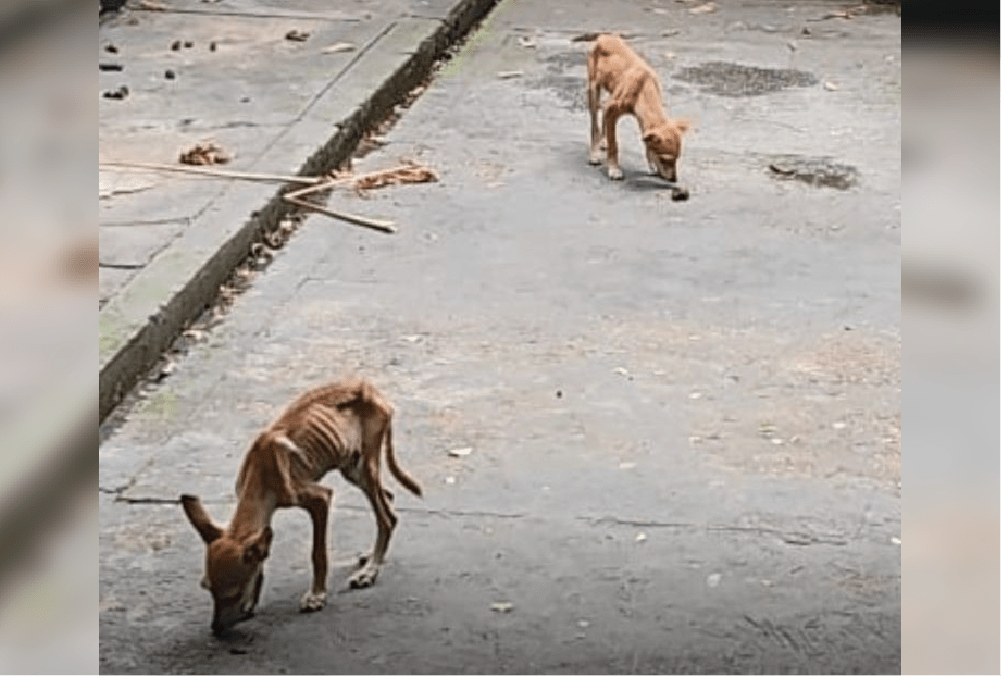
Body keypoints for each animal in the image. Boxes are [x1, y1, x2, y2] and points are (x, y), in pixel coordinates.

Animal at [180, 378, 422, 636]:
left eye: (233, 594)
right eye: (208, 589)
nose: (216, 629)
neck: (259, 476)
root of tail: (368, 387)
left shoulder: (320, 499)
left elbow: (318, 554)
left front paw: (317, 595)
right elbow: (261, 562)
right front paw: (253, 601)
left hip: (365, 464)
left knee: (385, 518)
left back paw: (370, 571)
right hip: (352, 467)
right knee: (389, 504)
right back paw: (372, 556)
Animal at [584, 33, 688, 182]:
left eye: (677, 159)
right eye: (665, 159)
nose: (674, 180)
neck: (643, 86)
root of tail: (605, 35)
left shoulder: (641, 118)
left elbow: (647, 144)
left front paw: (651, 165)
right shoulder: (612, 111)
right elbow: (614, 145)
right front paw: (614, 169)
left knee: (603, 109)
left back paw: (603, 141)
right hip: (593, 89)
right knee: (594, 125)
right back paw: (594, 153)